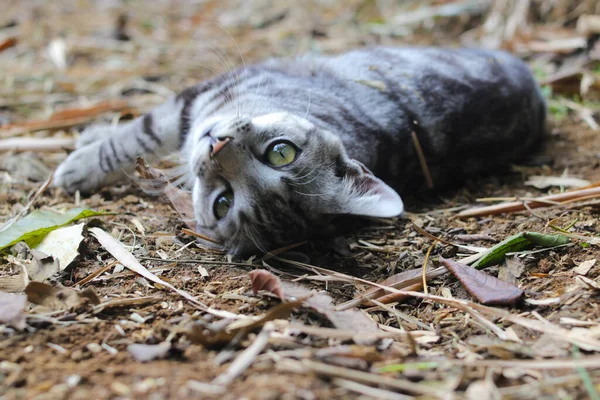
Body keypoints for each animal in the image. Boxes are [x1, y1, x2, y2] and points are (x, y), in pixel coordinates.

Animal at [54, 46, 548, 253]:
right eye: (282, 152)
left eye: (222, 203)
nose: (216, 145)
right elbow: (139, 133)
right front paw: (85, 140)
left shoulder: (193, 106)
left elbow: (132, 137)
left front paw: (77, 166)